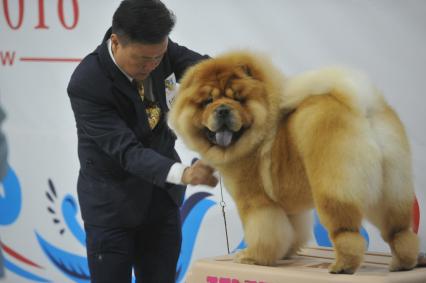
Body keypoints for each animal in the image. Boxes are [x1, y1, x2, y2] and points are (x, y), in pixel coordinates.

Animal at [167, 51, 420, 276]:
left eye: (238, 99)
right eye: (208, 101)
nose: (222, 109)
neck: (255, 134)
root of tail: (361, 105)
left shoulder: (256, 202)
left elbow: (262, 232)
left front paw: (253, 257)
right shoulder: (287, 207)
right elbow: (290, 231)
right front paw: (285, 253)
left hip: (334, 189)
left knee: (347, 231)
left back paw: (342, 266)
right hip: (391, 188)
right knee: (399, 230)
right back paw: (403, 263)